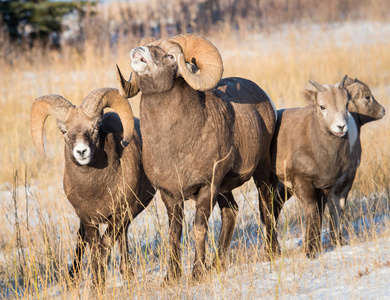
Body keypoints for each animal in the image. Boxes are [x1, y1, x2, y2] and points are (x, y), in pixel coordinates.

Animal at [29, 87, 155, 286]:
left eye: (95, 126)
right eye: (63, 131)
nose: (81, 151)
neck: (96, 190)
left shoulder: (120, 214)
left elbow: (104, 246)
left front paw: (99, 284)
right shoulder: (86, 217)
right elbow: (93, 247)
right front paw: (97, 283)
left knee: (122, 236)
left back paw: (127, 273)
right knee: (82, 240)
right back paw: (73, 276)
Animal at [116, 35, 278, 282]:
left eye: (171, 56)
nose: (139, 51)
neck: (174, 147)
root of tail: (265, 100)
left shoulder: (206, 188)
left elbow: (199, 228)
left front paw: (197, 273)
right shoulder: (170, 195)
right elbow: (174, 233)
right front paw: (171, 277)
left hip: (261, 172)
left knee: (265, 207)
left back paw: (271, 252)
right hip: (224, 190)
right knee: (231, 213)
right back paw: (217, 264)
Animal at [270, 77, 352, 258]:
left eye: (346, 104)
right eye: (322, 106)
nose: (341, 127)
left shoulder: (324, 187)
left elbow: (319, 213)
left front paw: (314, 247)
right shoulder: (302, 182)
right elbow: (312, 210)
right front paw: (309, 252)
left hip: (284, 188)